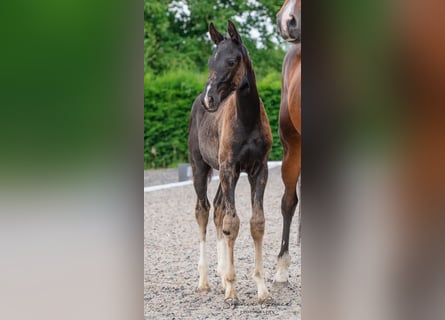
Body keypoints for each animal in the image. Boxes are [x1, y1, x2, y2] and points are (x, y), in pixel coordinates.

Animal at [186, 21, 272, 304]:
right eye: (210, 61)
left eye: (232, 61)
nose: (209, 99)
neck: (246, 119)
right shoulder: (229, 168)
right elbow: (232, 224)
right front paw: (232, 292)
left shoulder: (259, 169)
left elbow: (256, 223)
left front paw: (262, 289)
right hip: (200, 166)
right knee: (203, 210)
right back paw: (204, 281)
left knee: (218, 209)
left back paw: (222, 274)